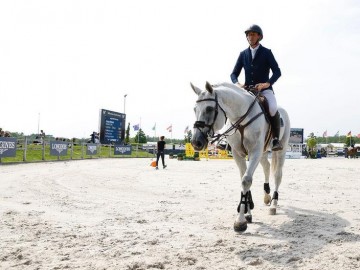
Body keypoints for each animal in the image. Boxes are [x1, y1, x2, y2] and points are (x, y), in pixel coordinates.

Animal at [191, 81, 290, 232]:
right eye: (194, 109)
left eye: (209, 108)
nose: (196, 142)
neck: (240, 118)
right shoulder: (238, 154)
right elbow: (244, 179)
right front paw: (248, 213)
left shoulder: (254, 151)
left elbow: (246, 180)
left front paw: (240, 221)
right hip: (263, 152)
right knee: (267, 167)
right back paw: (266, 197)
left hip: (280, 150)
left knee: (278, 175)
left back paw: (273, 205)